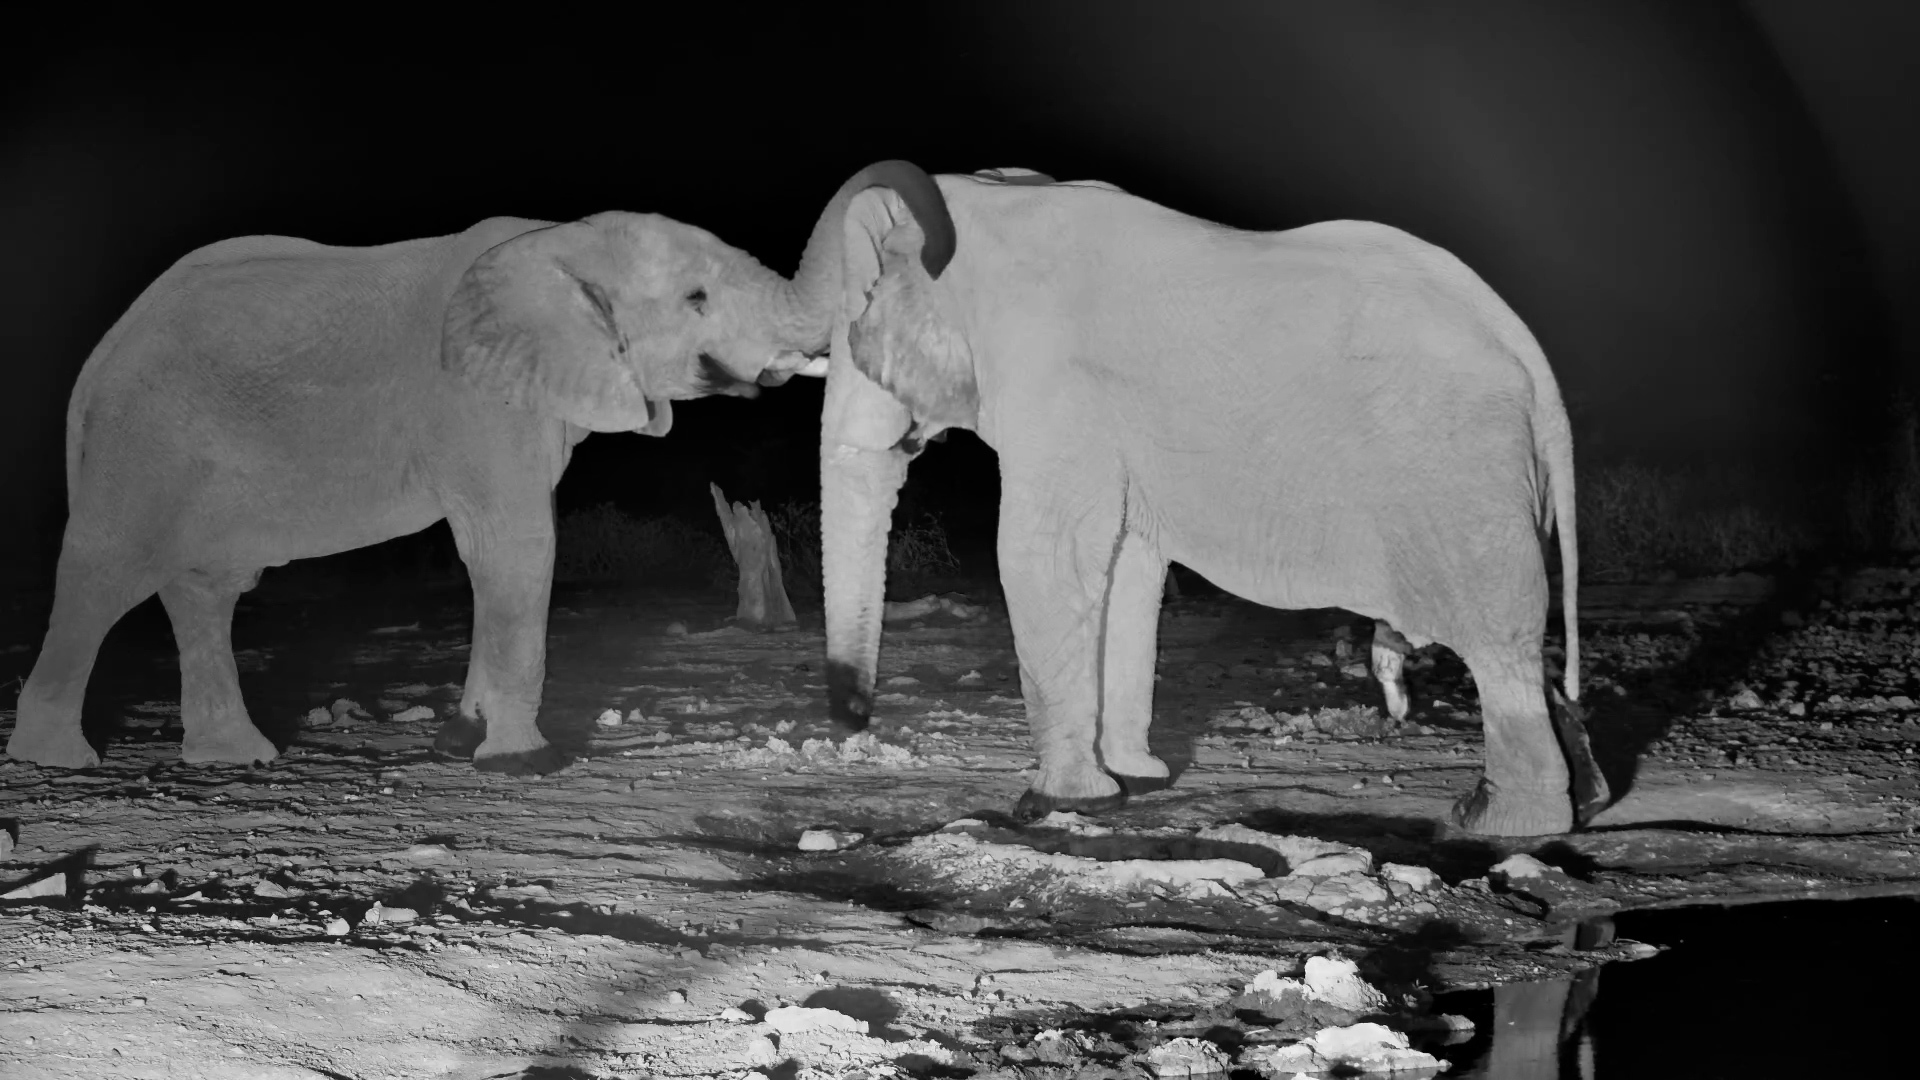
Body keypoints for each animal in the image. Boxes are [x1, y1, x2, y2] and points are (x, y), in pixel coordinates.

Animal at [6, 162, 951, 774]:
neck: (562, 241)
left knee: (203, 590)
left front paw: (464, 739)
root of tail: (96, 361)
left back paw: (235, 758)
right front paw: (521, 761)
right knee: (105, 574)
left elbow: (492, 551)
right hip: (141, 442)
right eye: (696, 300)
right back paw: (60, 762)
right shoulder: (475, 403)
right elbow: (517, 545)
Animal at [804, 160, 1598, 836]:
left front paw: (1054, 804)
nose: (856, 719)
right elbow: (1129, 569)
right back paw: (1581, 796)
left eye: (854, 334)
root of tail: (1534, 363)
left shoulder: (1054, 387)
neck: (981, 201)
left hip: (1463, 475)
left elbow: (1043, 558)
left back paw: (1496, 821)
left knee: (1497, 643)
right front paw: (1136, 782)